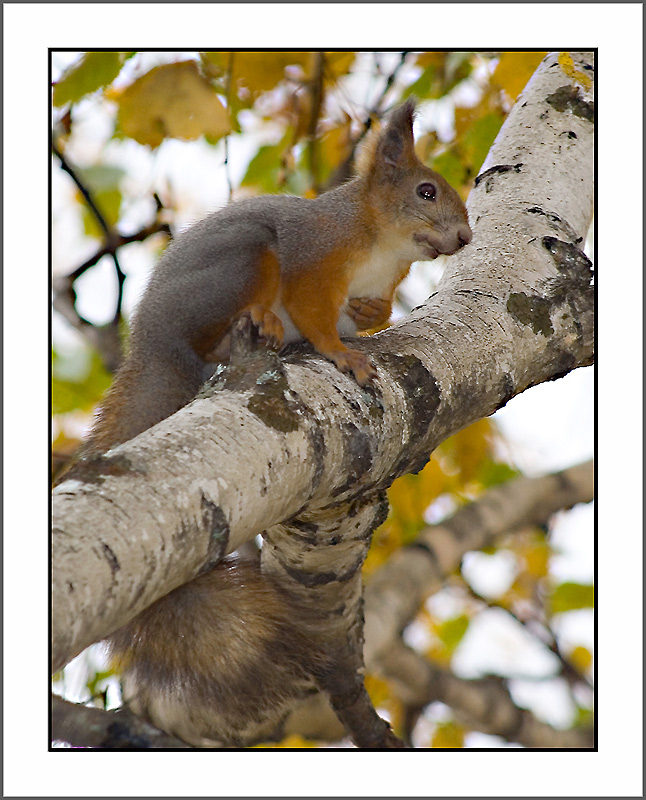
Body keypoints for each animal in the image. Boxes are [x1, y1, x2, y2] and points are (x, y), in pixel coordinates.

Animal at [82, 101, 476, 752]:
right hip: (246, 261)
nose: (466, 238)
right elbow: (314, 315)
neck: (382, 247)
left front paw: (369, 316)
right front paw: (341, 354)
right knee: (230, 320)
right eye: (427, 192)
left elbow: (365, 312)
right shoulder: (314, 260)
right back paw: (255, 326)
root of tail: (152, 343)